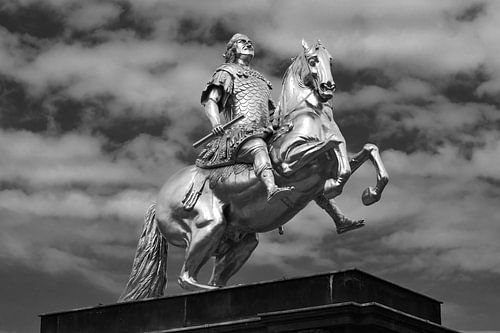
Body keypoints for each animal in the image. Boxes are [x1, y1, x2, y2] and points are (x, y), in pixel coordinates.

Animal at [119, 39, 388, 300]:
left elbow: (367, 149)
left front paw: (369, 195)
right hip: (208, 226)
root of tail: (158, 202)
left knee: (214, 276)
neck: (307, 114)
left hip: (239, 241)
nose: (328, 86)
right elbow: (333, 145)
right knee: (186, 278)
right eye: (313, 59)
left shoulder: (329, 165)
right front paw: (336, 186)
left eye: (330, 59)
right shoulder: (287, 162)